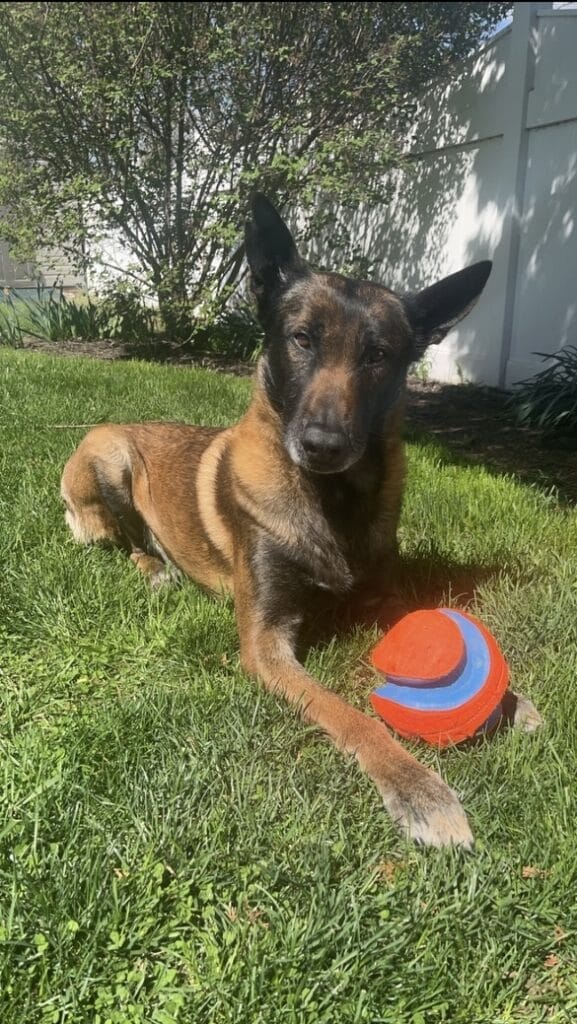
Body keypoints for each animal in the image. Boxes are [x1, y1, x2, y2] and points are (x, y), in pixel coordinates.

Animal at [61, 194, 534, 848]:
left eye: (378, 355)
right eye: (302, 339)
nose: (322, 444)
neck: (332, 500)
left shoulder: (385, 594)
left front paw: (508, 701)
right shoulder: (266, 643)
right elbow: (351, 715)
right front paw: (417, 787)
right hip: (111, 455)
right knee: (124, 541)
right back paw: (154, 568)